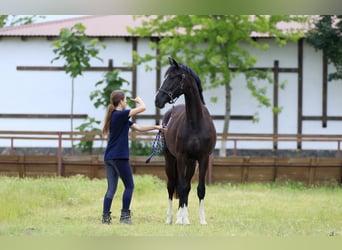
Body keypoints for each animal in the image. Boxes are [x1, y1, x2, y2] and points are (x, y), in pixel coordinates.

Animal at [156, 57, 216, 225]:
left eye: (172, 77)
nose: (158, 100)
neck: (195, 123)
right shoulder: (181, 157)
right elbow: (180, 187)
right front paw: (181, 220)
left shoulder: (202, 159)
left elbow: (199, 189)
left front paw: (201, 220)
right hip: (171, 159)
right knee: (172, 186)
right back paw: (171, 218)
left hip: (191, 163)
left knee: (187, 186)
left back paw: (183, 216)